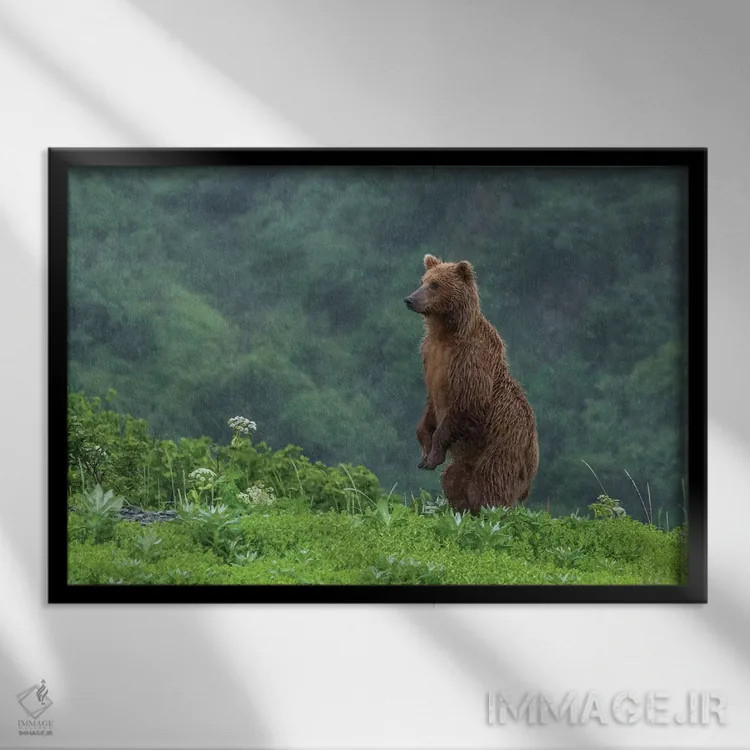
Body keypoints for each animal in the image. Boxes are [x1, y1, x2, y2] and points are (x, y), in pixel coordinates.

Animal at [404, 254, 539, 512]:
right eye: (423, 280)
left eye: (435, 285)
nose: (410, 299)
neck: (446, 332)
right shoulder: (429, 356)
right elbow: (429, 408)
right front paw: (424, 451)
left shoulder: (469, 361)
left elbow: (469, 401)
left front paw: (433, 454)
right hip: (468, 460)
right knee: (453, 479)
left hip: (501, 448)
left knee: (489, 484)